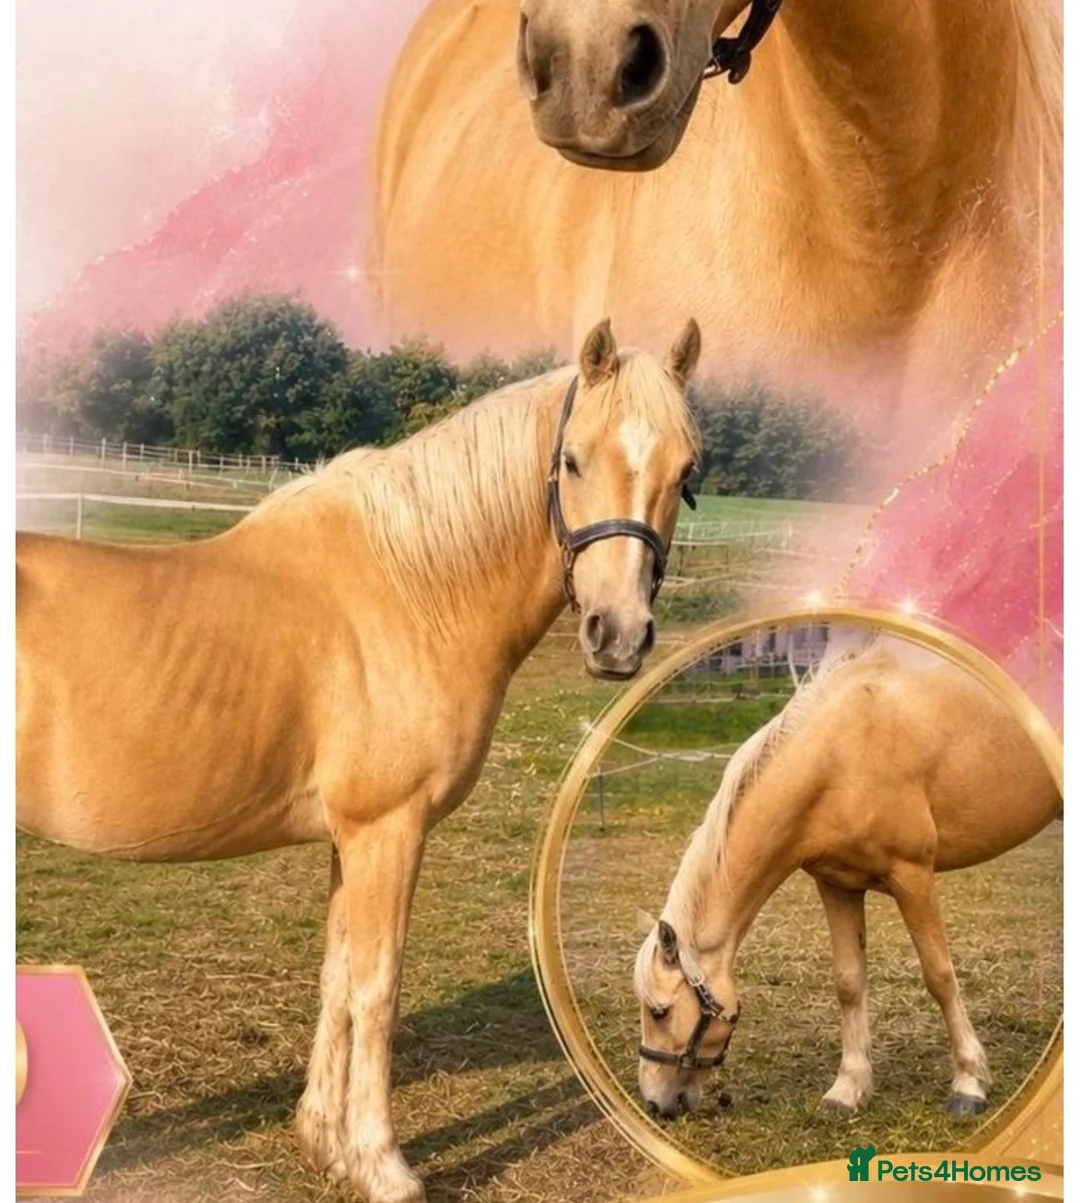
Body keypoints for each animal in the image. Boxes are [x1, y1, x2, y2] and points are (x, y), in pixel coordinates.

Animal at [16, 318, 702, 1203]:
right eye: (576, 460)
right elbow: (378, 988)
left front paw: (324, 1141)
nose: (617, 636)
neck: (411, 587)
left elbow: (337, 979)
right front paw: (384, 1164)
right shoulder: (389, 829)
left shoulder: (351, 837)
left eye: (686, 471)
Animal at [633, 638, 1060, 1122]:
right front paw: (848, 1089)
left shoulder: (912, 876)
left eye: (660, 1012)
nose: (655, 1101)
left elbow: (939, 976)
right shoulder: (838, 885)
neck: (842, 755)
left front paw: (969, 1082)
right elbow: (849, 982)